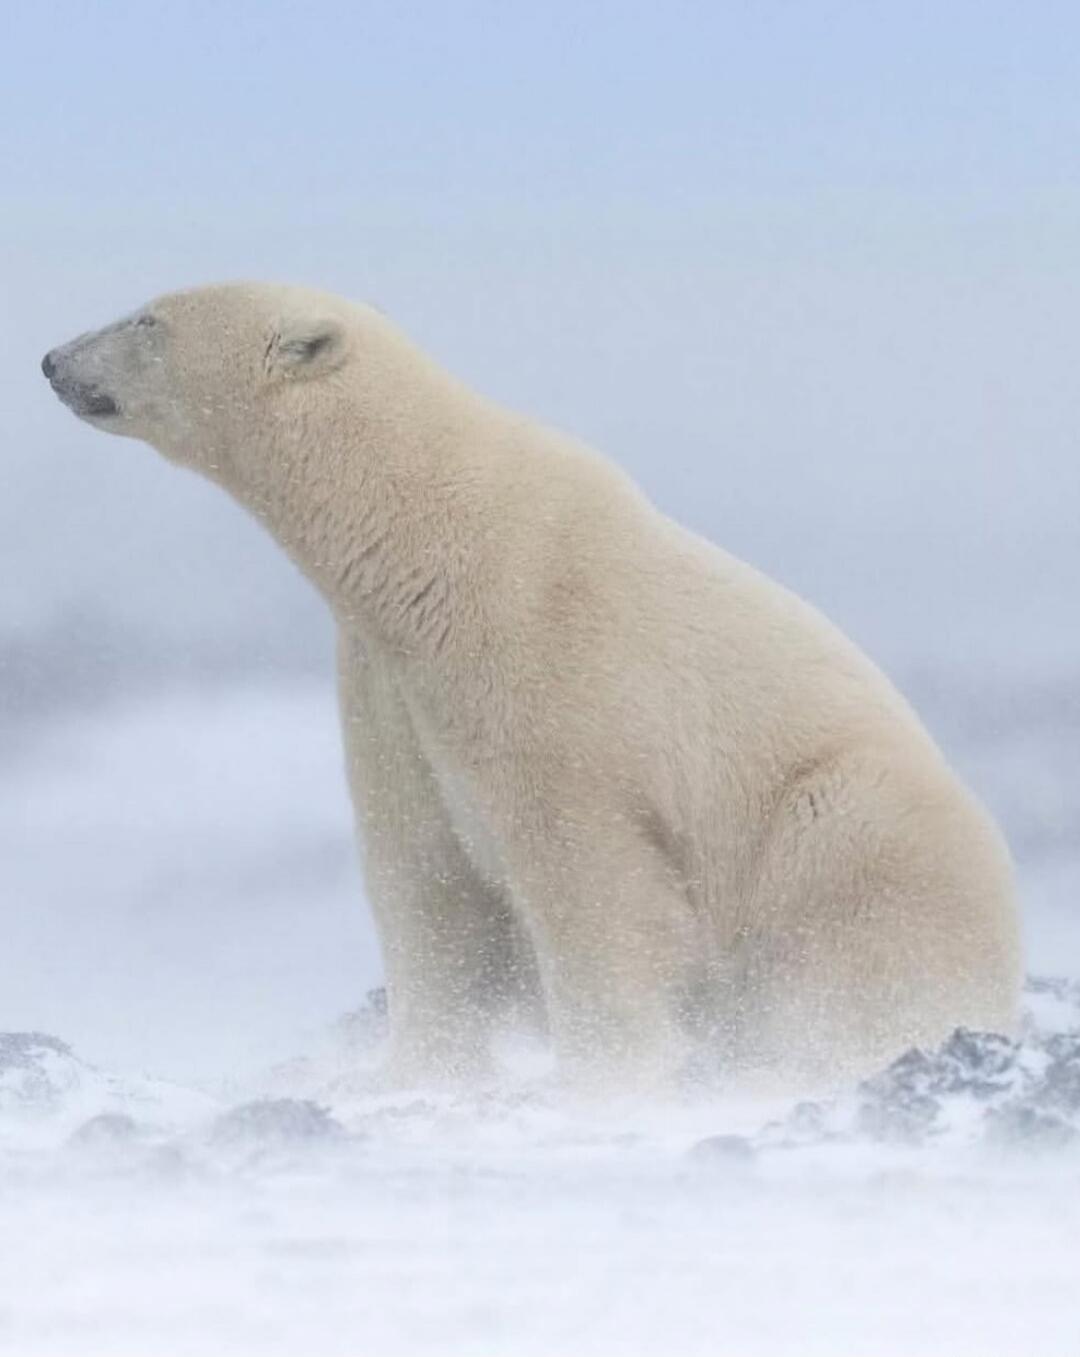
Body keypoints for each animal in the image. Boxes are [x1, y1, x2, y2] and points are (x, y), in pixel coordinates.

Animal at [42, 283, 1021, 1094]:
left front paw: (603, 1072)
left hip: (853, 825)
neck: (419, 536)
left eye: (149, 318)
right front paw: (413, 1071)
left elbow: (588, 872)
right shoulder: (392, 689)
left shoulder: (538, 655)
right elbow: (424, 873)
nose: (52, 360)